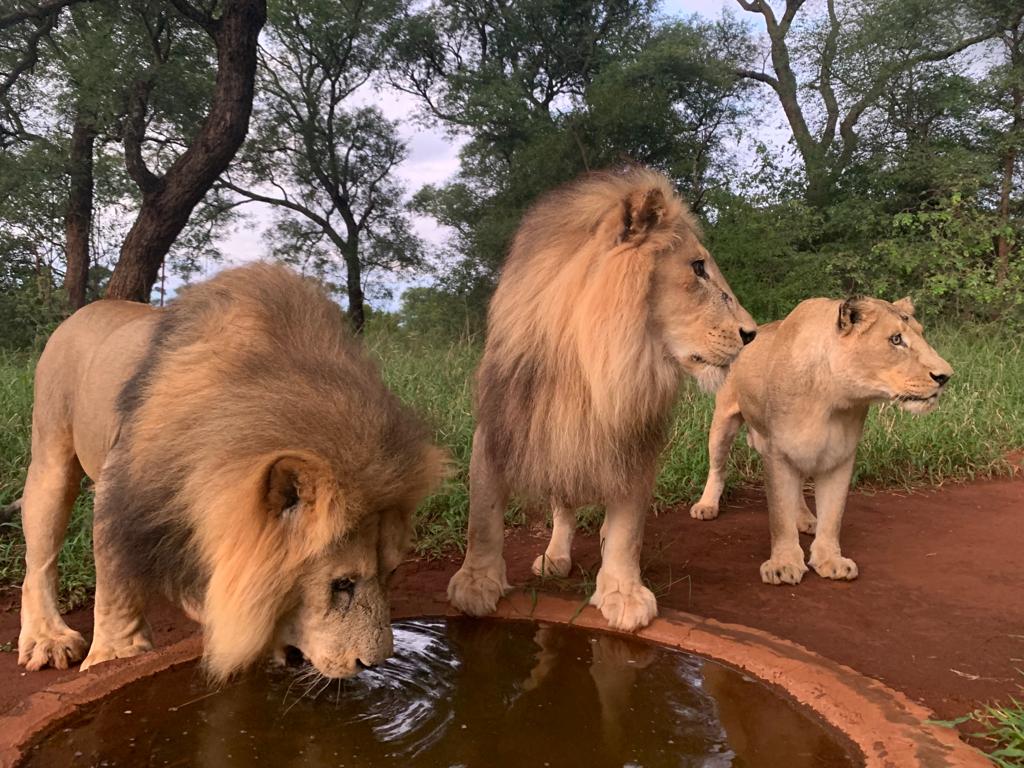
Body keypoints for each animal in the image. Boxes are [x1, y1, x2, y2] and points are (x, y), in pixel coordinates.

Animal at [17, 264, 444, 679]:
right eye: (341, 584)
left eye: (391, 572)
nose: (375, 663)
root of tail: (84, 311)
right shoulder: (122, 489)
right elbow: (116, 583)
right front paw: (117, 656)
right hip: (51, 455)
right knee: (39, 560)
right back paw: (48, 638)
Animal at [444, 167, 757, 630]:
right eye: (698, 267)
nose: (752, 334)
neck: (596, 362)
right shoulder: (503, 422)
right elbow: (483, 516)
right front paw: (476, 583)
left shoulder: (633, 437)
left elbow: (628, 529)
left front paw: (623, 594)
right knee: (563, 504)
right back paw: (555, 556)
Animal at [688, 296, 950, 585]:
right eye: (896, 339)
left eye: (921, 334)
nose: (945, 376)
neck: (832, 400)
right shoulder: (777, 452)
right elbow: (780, 514)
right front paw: (784, 565)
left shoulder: (840, 456)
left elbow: (832, 515)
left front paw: (830, 560)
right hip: (723, 421)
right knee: (718, 466)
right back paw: (706, 506)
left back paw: (805, 519)